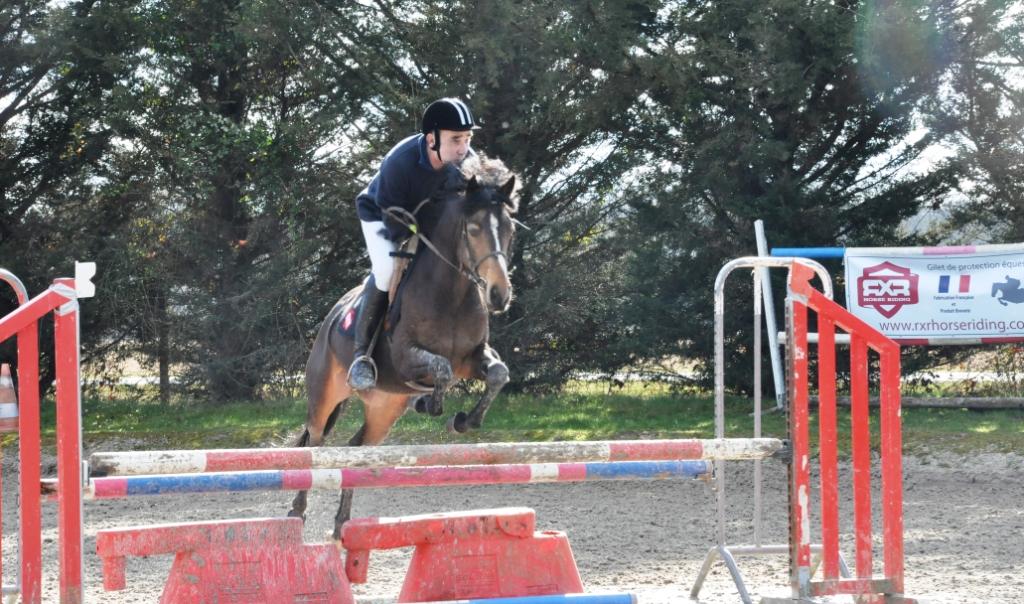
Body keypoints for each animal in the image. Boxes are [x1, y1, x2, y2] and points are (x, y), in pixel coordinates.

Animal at [288, 156, 520, 540]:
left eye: (509, 230)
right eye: (473, 229)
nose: (499, 295)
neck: (452, 294)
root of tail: (331, 319)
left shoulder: (473, 358)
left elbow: (498, 374)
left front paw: (465, 420)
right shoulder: (405, 358)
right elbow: (441, 369)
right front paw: (432, 404)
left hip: (384, 408)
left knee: (357, 450)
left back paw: (341, 524)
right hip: (324, 396)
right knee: (314, 446)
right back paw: (297, 512)